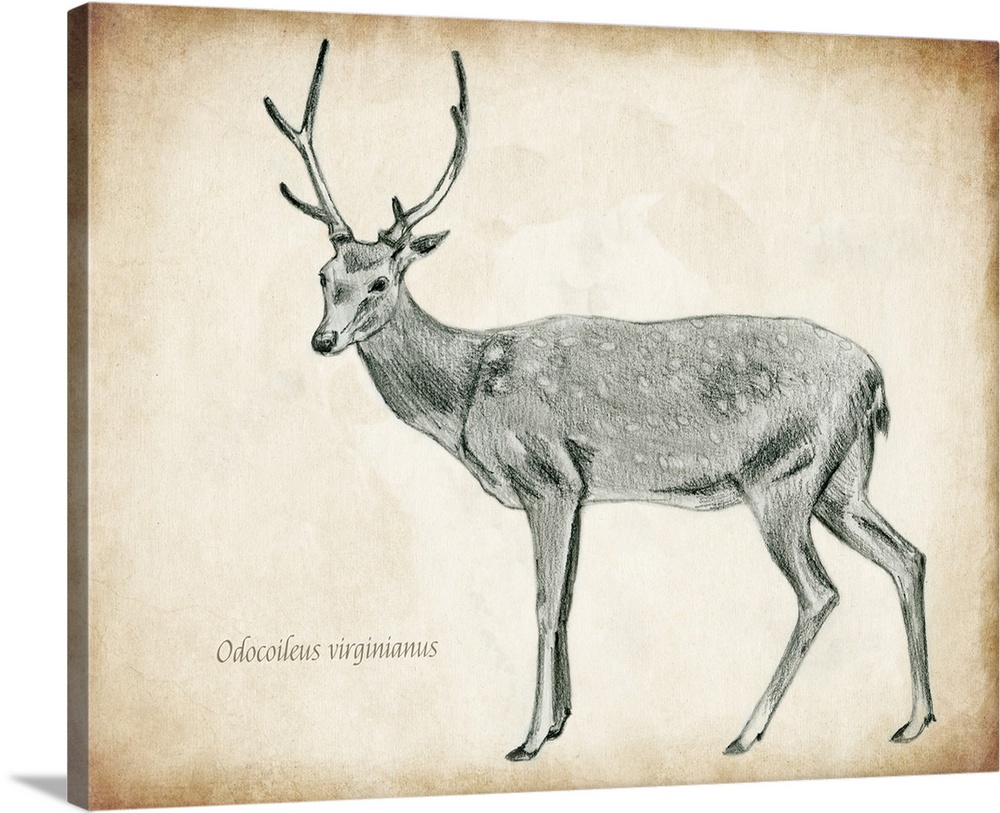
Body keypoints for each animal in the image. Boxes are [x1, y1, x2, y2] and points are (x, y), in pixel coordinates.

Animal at [264, 40, 934, 762]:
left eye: (380, 281)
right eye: (325, 275)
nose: (323, 339)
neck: (468, 393)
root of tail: (874, 378)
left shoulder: (547, 477)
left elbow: (542, 601)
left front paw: (529, 738)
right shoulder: (580, 489)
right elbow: (568, 599)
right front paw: (562, 720)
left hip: (784, 476)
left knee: (820, 592)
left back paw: (748, 730)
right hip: (842, 482)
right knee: (908, 556)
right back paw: (915, 718)